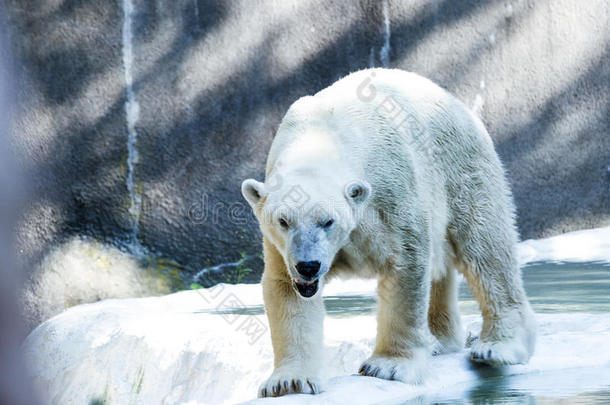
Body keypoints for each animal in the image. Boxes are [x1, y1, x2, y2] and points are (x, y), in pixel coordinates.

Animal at [240, 68, 536, 396]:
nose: (308, 266)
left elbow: (405, 264)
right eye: (283, 221)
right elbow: (284, 288)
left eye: (328, 221)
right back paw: (438, 341)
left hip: (461, 167)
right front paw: (289, 381)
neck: (321, 136)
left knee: (486, 246)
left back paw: (497, 346)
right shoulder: (279, 246)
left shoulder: (389, 192)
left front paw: (388, 366)